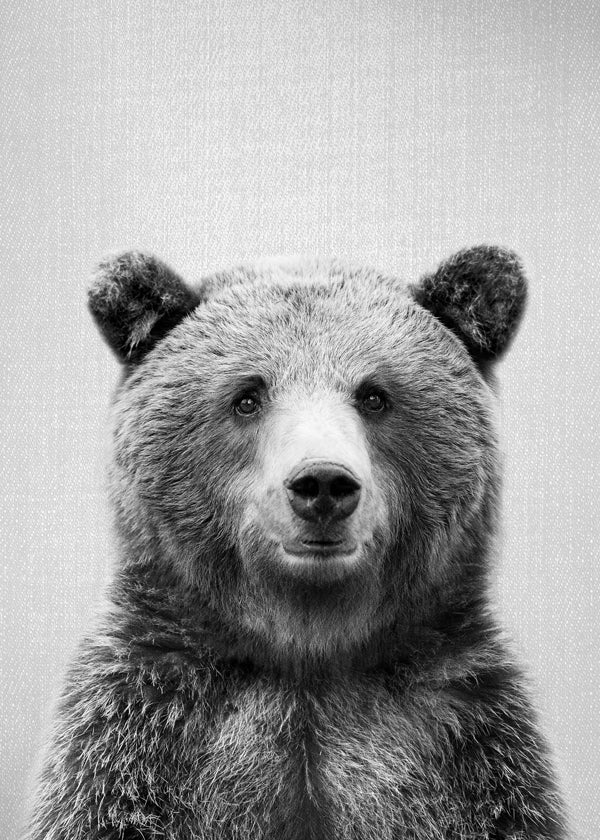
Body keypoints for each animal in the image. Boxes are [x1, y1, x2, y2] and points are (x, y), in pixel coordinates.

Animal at [26, 247, 566, 840]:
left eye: (374, 395)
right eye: (247, 396)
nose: (323, 483)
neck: (307, 652)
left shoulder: (466, 750)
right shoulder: (139, 741)